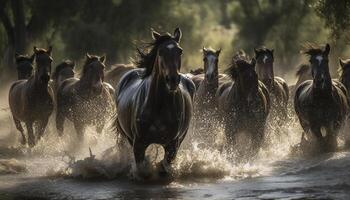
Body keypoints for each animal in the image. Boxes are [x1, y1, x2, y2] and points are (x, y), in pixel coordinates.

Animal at [113, 27, 196, 176]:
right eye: (161, 52)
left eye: (180, 51)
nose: (172, 80)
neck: (159, 105)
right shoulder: (139, 144)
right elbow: (142, 167)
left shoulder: (172, 144)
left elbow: (164, 165)